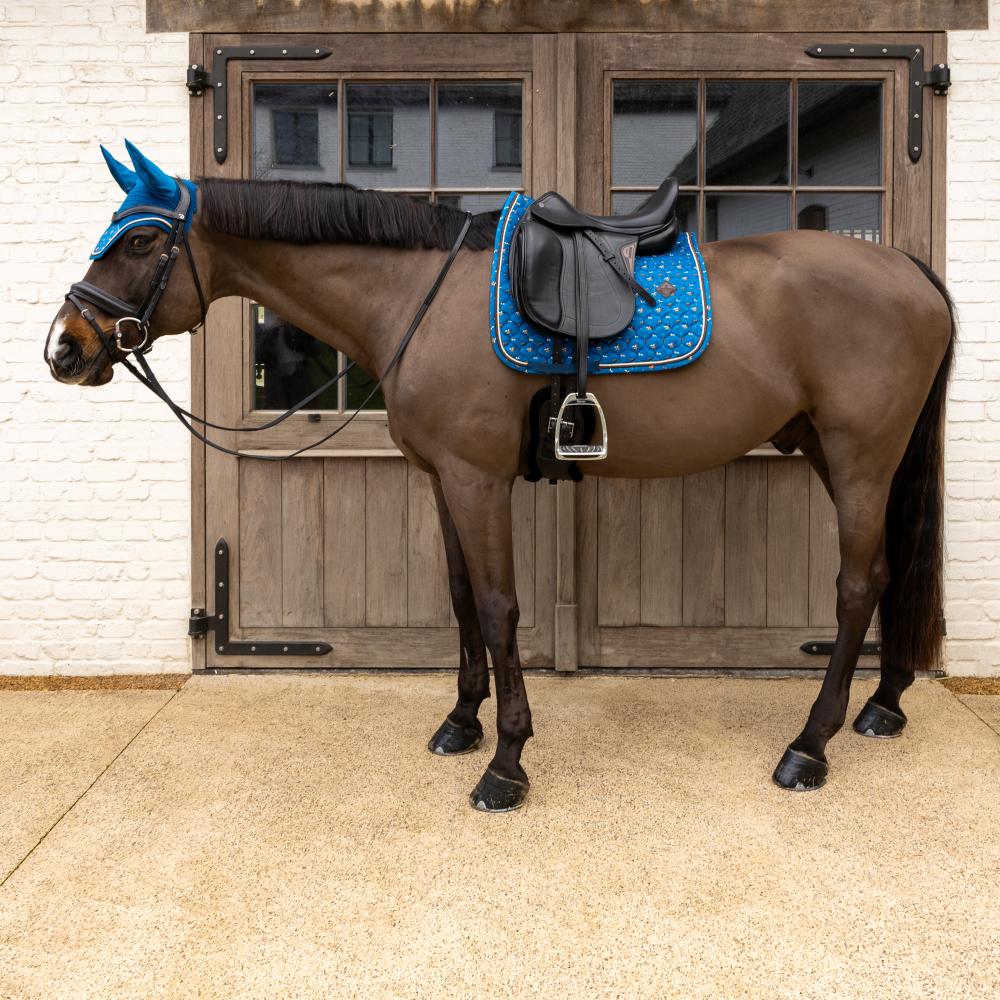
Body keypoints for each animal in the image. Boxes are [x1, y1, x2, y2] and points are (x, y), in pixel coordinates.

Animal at [45, 142, 954, 812]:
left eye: (140, 240)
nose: (65, 347)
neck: (415, 294)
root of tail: (911, 271)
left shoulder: (478, 480)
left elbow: (497, 604)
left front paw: (507, 763)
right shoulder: (441, 478)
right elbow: (459, 598)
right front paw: (461, 723)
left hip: (861, 455)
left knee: (856, 584)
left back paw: (808, 746)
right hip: (839, 453)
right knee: (891, 572)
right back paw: (884, 704)